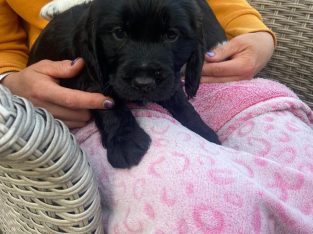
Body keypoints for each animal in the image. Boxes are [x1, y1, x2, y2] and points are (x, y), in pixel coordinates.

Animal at [28, 0, 225, 168]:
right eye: (119, 33)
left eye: (171, 35)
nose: (144, 83)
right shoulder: (88, 73)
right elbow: (110, 105)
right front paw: (125, 142)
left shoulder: (170, 79)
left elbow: (181, 102)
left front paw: (203, 130)